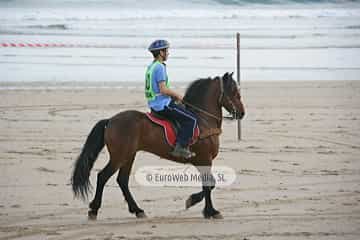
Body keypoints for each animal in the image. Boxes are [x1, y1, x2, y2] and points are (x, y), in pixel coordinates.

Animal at [70, 71, 245, 219]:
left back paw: (137, 210)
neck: (203, 120)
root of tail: (110, 120)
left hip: (129, 156)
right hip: (119, 156)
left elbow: (208, 185)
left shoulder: (202, 161)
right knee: (103, 176)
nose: (242, 113)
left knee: (122, 180)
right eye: (234, 92)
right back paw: (94, 209)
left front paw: (197, 204)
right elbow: (209, 185)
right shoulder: (204, 160)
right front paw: (209, 210)